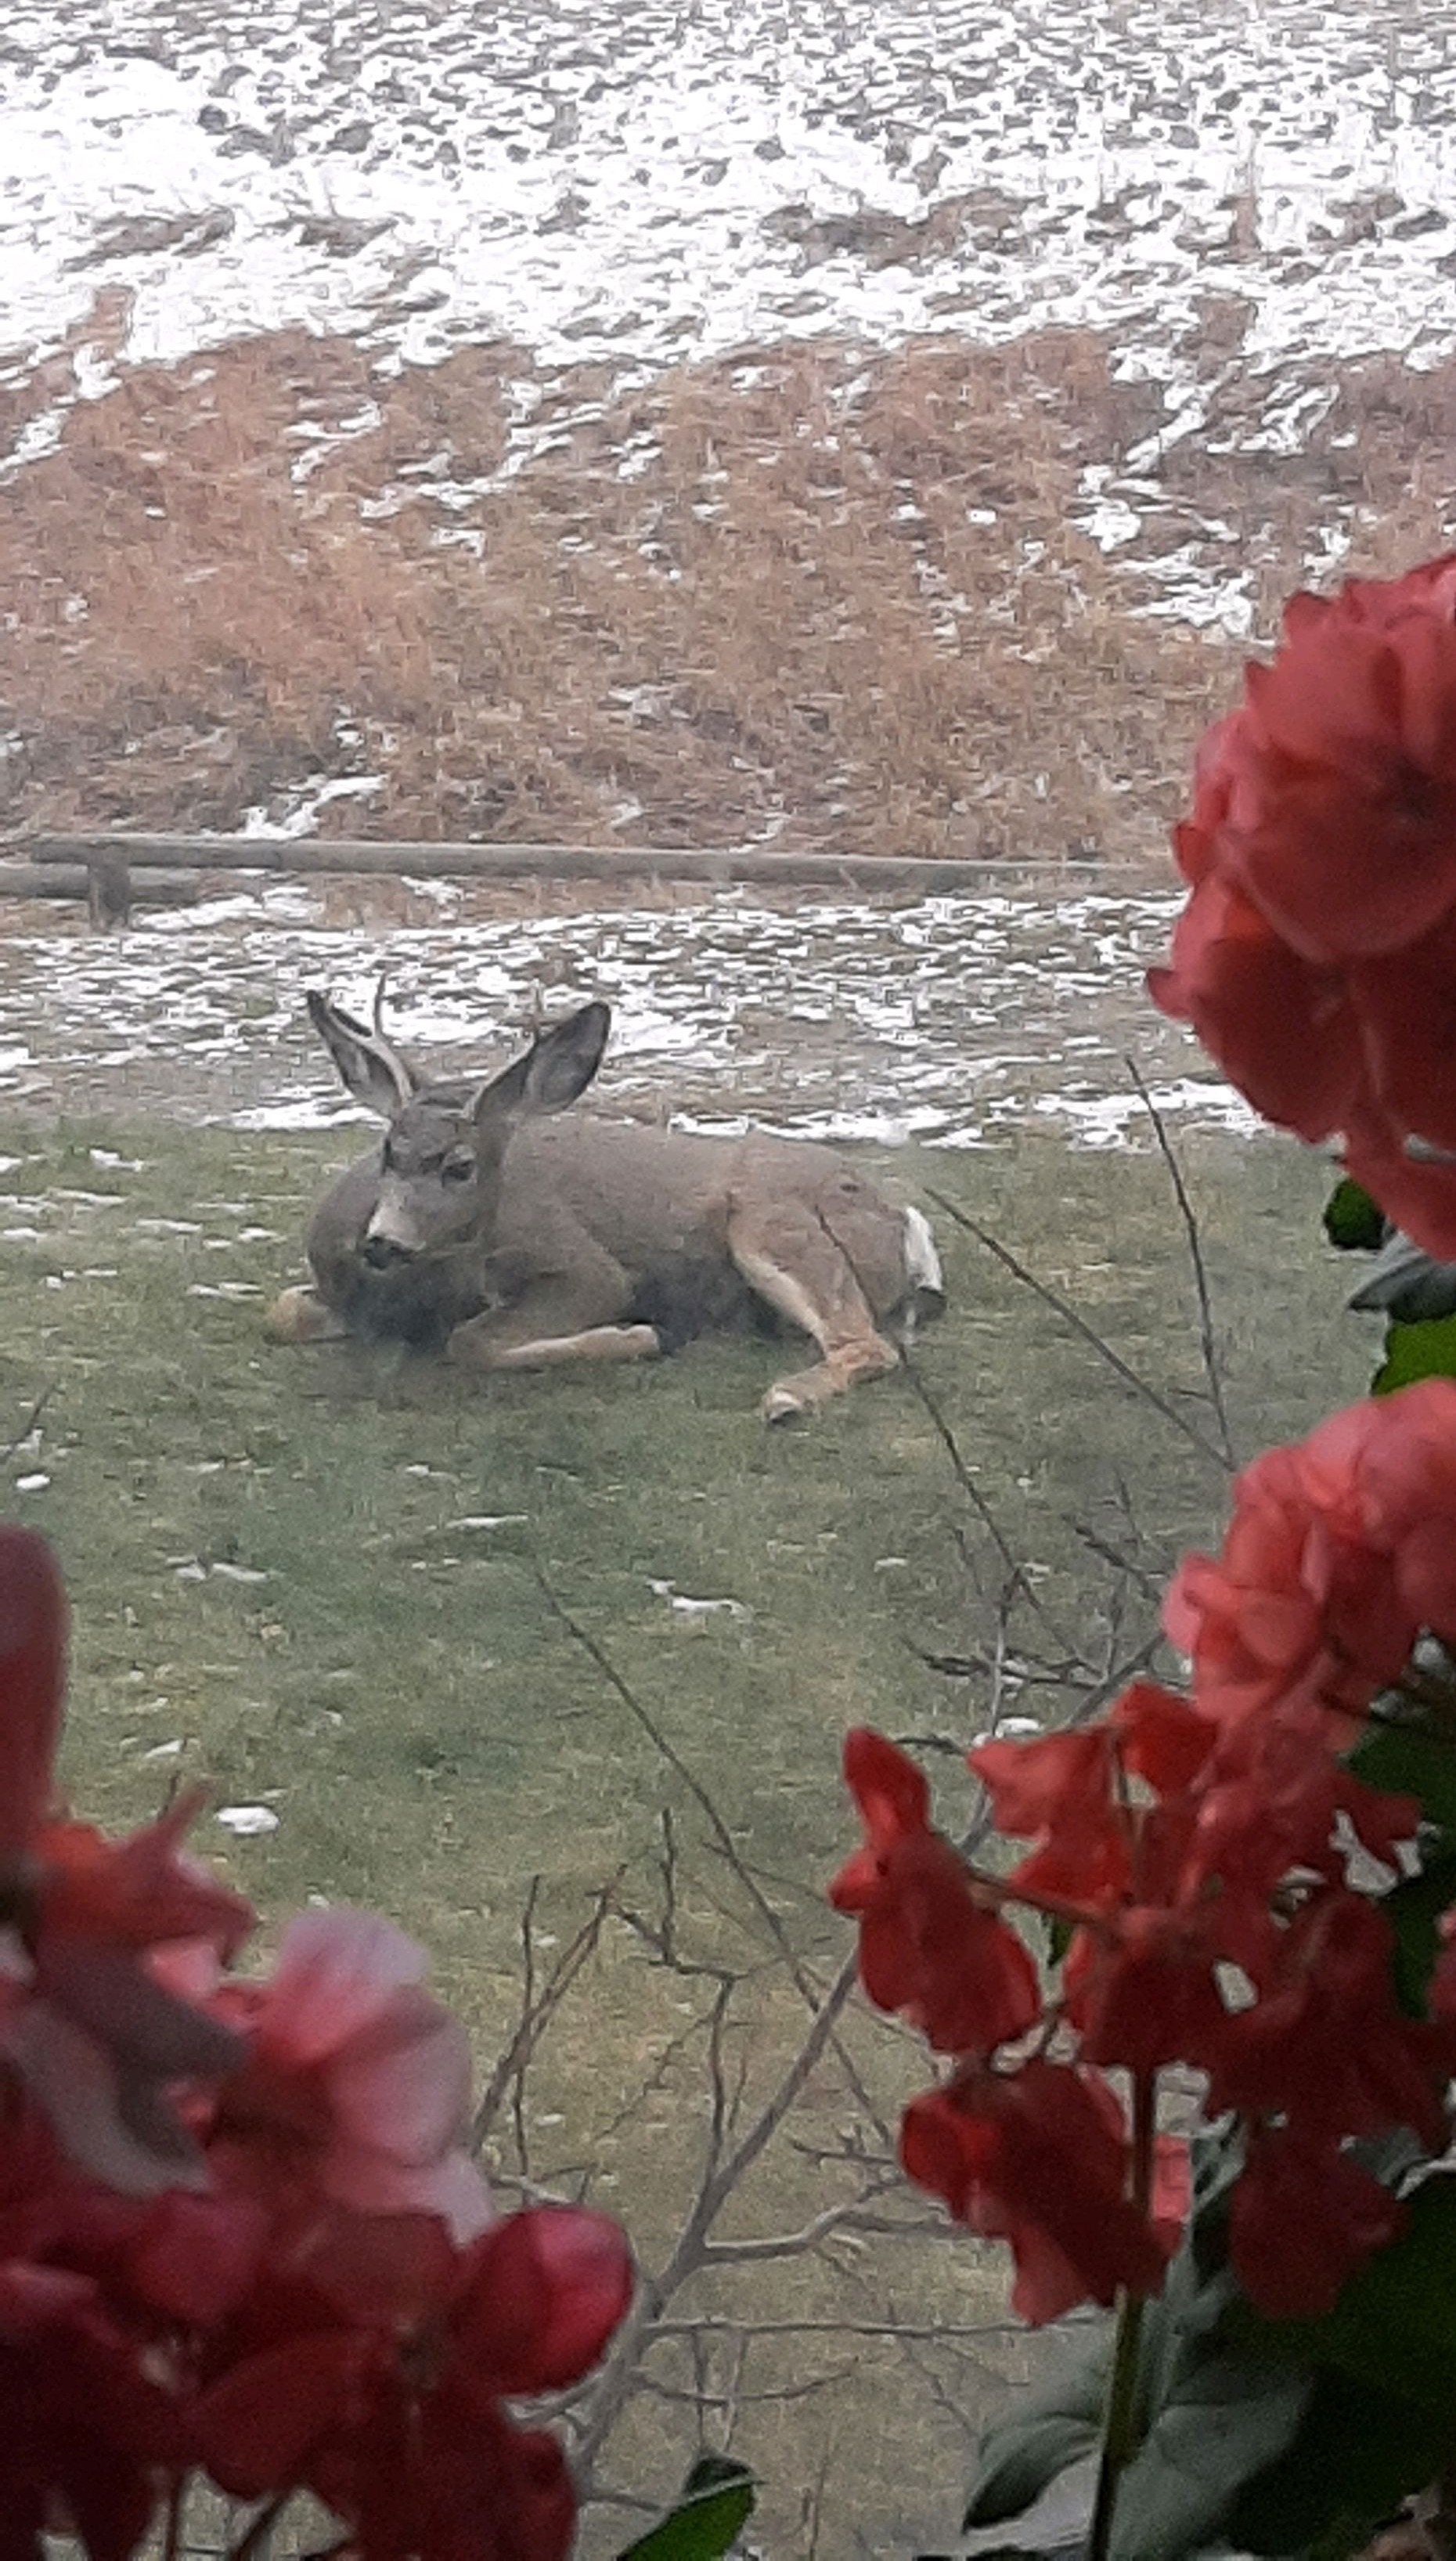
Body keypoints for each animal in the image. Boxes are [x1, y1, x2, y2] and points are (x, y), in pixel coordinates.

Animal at [263, 978, 941, 1423]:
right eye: (388, 1150)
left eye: (460, 1166)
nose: (383, 1241)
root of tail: (899, 1219)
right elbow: (282, 1312)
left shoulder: (585, 1268)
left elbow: (472, 1341)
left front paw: (637, 1336)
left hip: (771, 1220)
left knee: (866, 1342)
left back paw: (784, 1398)